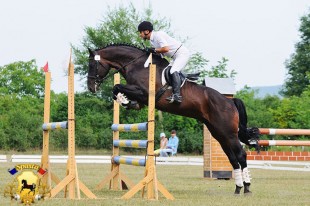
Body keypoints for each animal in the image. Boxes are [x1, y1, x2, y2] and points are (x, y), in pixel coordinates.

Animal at [86, 43, 252, 195]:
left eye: (92, 65)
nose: (91, 87)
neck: (137, 64)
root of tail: (230, 102)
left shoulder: (144, 93)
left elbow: (117, 87)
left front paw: (123, 100)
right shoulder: (141, 98)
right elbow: (119, 91)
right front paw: (126, 102)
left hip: (229, 134)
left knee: (240, 155)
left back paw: (247, 187)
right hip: (219, 133)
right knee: (232, 158)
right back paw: (238, 188)